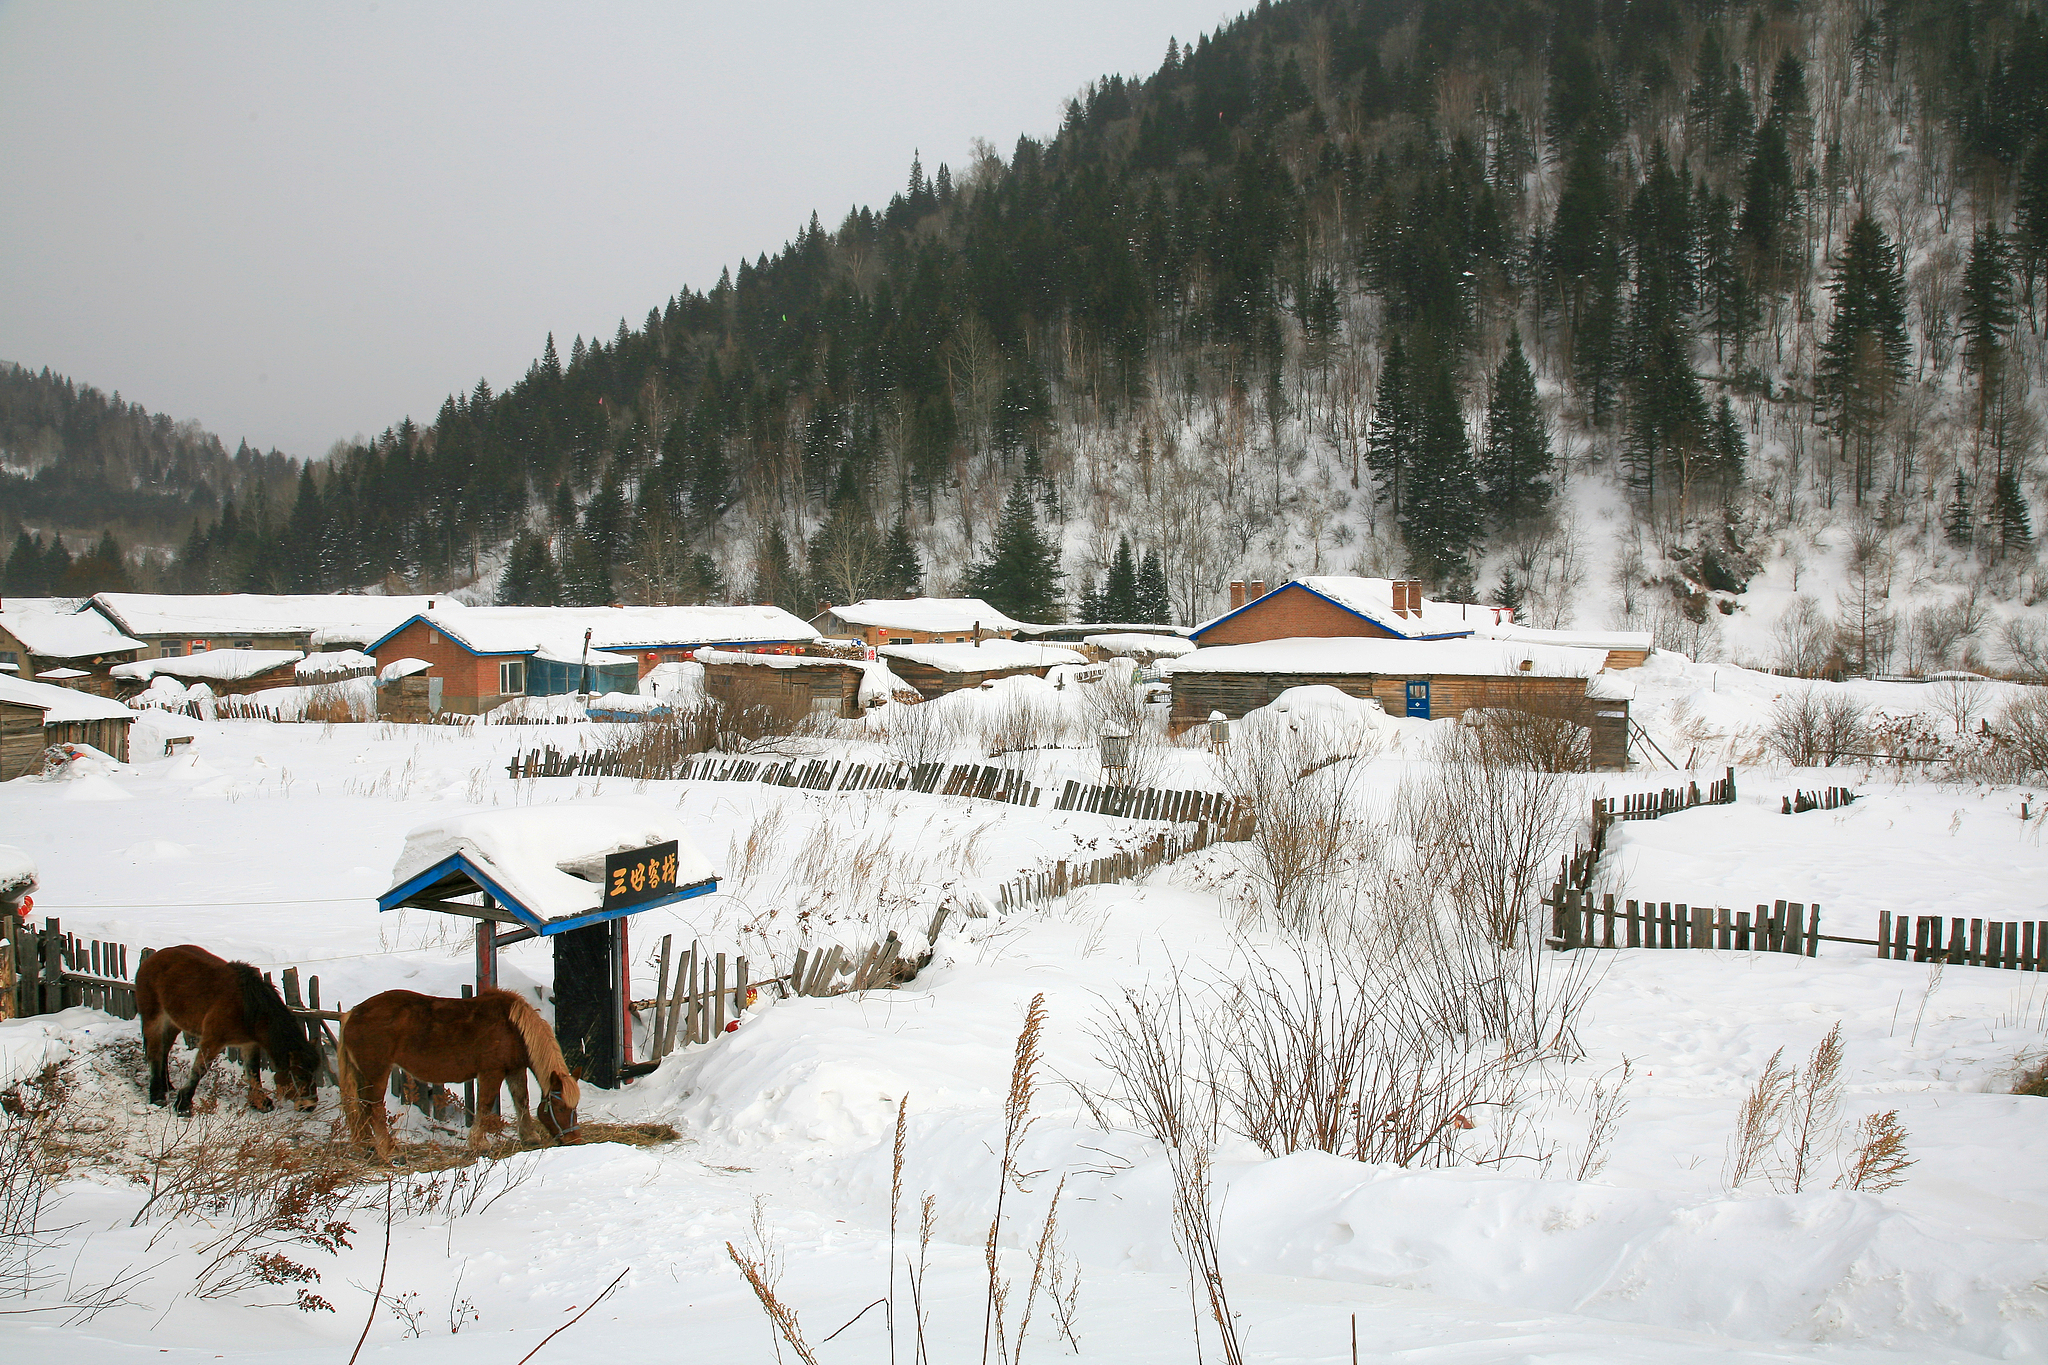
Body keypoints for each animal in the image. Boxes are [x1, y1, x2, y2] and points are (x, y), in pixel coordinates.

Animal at [136, 945, 325, 1113]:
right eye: (299, 1076)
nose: (309, 1106)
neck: (248, 1008)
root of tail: (152, 958)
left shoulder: (250, 1044)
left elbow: (253, 1071)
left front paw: (259, 1102)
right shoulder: (212, 1040)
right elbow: (199, 1070)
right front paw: (183, 1104)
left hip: (173, 1022)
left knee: (164, 1051)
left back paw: (167, 1085)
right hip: (154, 1018)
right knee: (155, 1053)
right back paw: (157, 1094)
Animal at [335, 982, 577, 1162]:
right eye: (560, 1107)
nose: (574, 1139)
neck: (512, 1026)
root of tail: (353, 1013)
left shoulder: (514, 1069)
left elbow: (522, 1101)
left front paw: (530, 1137)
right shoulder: (491, 1072)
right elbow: (485, 1105)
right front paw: (480, 1144)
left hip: (362, 1074)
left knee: (361, 1108)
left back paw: (368, 1147)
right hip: (377, 1073)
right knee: (374, 1109)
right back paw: (390, 1151)